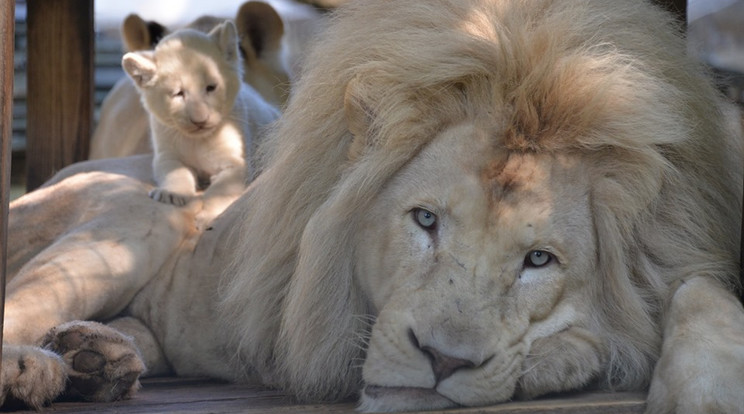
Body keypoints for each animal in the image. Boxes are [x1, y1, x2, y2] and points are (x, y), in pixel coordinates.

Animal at [1, 0, 744, 412]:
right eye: (424, 220)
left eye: (539, 259)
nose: (442, 361)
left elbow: (700, 295)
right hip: (133, 226)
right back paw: (34, 369)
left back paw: (94, 359)